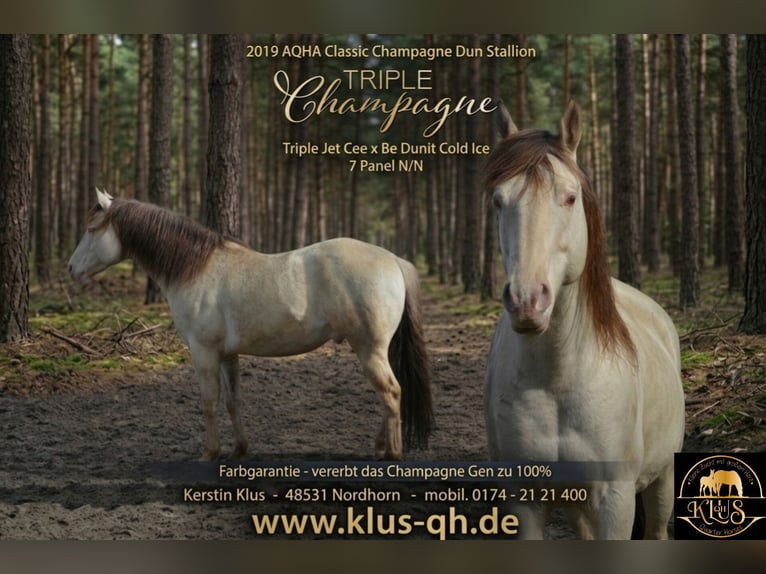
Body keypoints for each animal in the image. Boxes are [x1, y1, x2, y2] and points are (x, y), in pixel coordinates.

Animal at [68, 189, 433, 461]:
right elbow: (233, 401)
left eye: (91, 229)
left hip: (369, 349)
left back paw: (392, 454)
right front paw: (239, 449)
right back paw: (380, 447)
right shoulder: (228, 355)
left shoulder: (203, 353)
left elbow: (209, 403)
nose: (71, 269)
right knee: (389, 394)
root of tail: (393, 259)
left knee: (391, 392)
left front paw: (209, 453)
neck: (195, 268)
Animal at [482, 101, 685, 539]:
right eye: (498, 201)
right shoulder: (524, 500)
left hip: (661, 479)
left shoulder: (616, 499)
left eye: (570, 197)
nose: (527, 301)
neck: (556, 380)